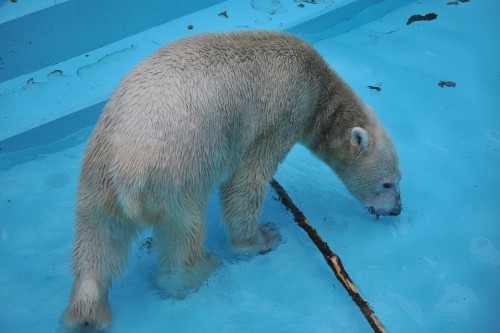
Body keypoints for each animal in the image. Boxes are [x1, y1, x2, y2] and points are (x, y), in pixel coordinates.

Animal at [64, 31, 402, 330]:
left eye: (399, 180)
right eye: (388, 184)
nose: (396, 210)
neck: (318, 88)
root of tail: (125, 170)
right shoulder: (281, 114)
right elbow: (246, 180)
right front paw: (261, 238)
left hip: (96, 177)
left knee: (98, 241)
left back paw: (88, 313)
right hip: (176, 174)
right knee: (184, 230)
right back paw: (200, 268)